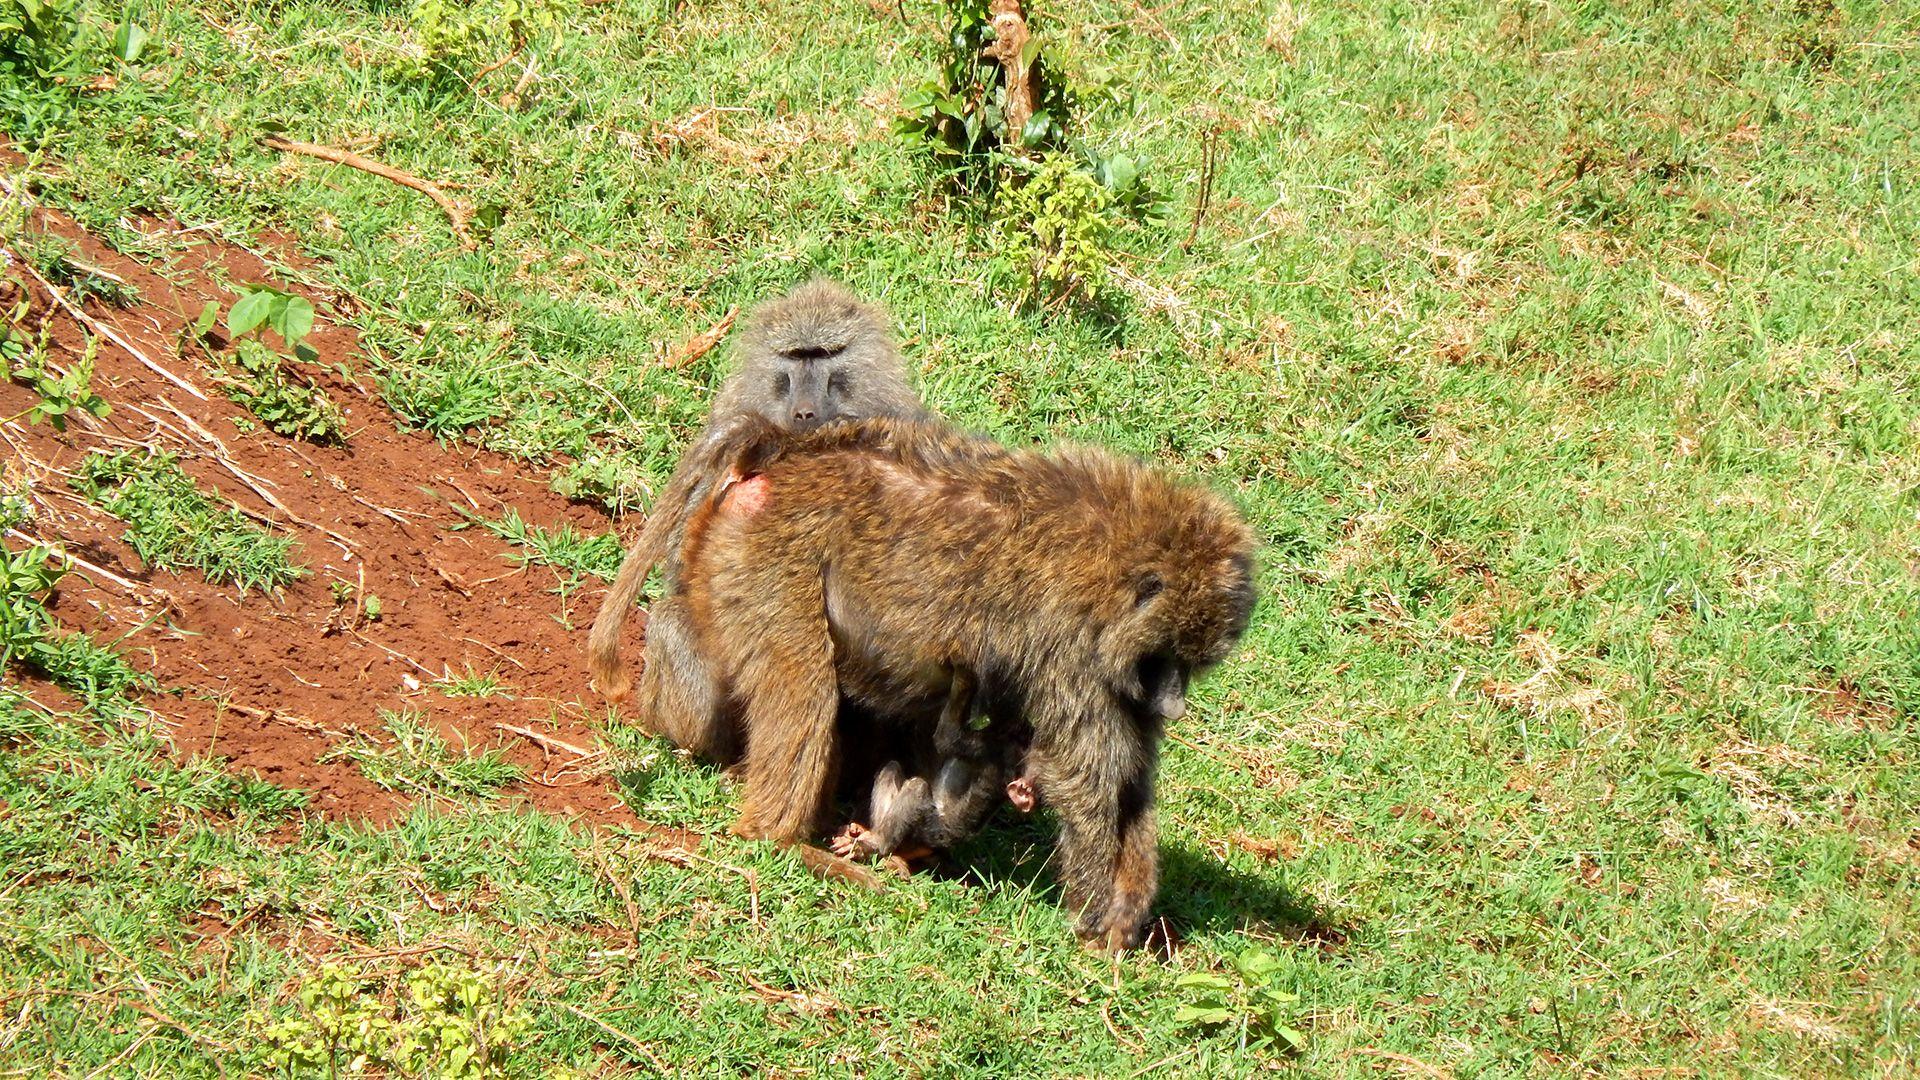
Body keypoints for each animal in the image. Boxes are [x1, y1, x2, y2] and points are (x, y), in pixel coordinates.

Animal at [586, 279, 926, 761]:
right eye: (795, 356)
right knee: (673, 621)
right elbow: (681, 569)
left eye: (824, 354)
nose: (804, 413)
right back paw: (700, 754)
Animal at [674, 415, 1258, 952]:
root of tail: (781, 461)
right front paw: (1093, 919)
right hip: (768, 555)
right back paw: (781, 840)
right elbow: (1083, 778)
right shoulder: (1067, 643)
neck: (1111, 560)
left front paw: (1126, 908)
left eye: (1190, 663)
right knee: (804, 686)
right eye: (1167, 658)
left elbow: (1131, 776)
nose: (1174, 707)